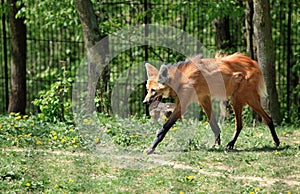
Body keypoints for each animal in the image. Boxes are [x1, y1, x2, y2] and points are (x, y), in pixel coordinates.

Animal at [142, 52, 278, 155]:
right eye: (147, 89)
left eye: (153, 90)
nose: (144, 102)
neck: (180, 78)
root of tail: (254, 62)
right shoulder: (204, 98)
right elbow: (214, 125)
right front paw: (216, 144)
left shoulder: (183, 104)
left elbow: (164, 128)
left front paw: (151, 148)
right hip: (245, 98)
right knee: (267, 118)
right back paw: (276, 141)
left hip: (237, 98)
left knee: (243, 124)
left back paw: (233, 144)